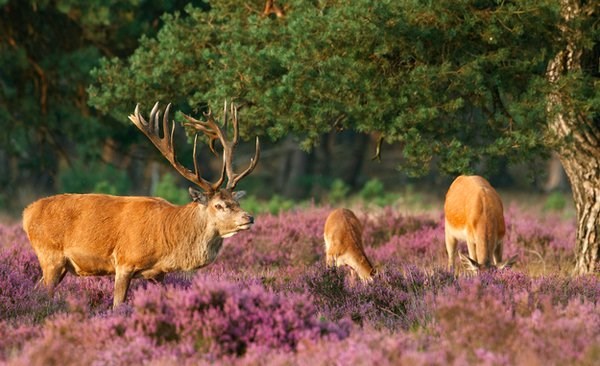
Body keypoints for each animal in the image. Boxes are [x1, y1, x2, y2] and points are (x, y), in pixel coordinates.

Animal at [22, 101, 260, 308]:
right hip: (50, 255)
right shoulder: (124, 262)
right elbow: (117, 305)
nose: (249, 217)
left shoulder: (159, 274)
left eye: (237, 201)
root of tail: (26, 213)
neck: (168, 241)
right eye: (218, 205)